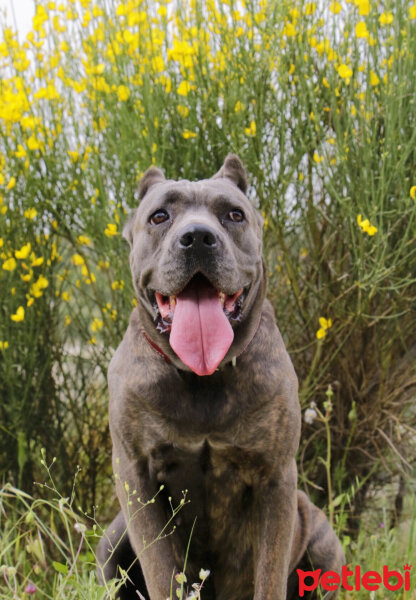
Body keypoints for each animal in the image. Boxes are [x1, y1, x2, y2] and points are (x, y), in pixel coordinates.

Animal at [97, 156, 344, 600]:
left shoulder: (275, 480)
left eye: (234, 215)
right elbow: (161, 571)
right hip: (112, 539)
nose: (197, 237)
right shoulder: (136, 475)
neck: (203, 377)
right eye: (159, 216)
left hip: (321, 538)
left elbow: (269, 573)